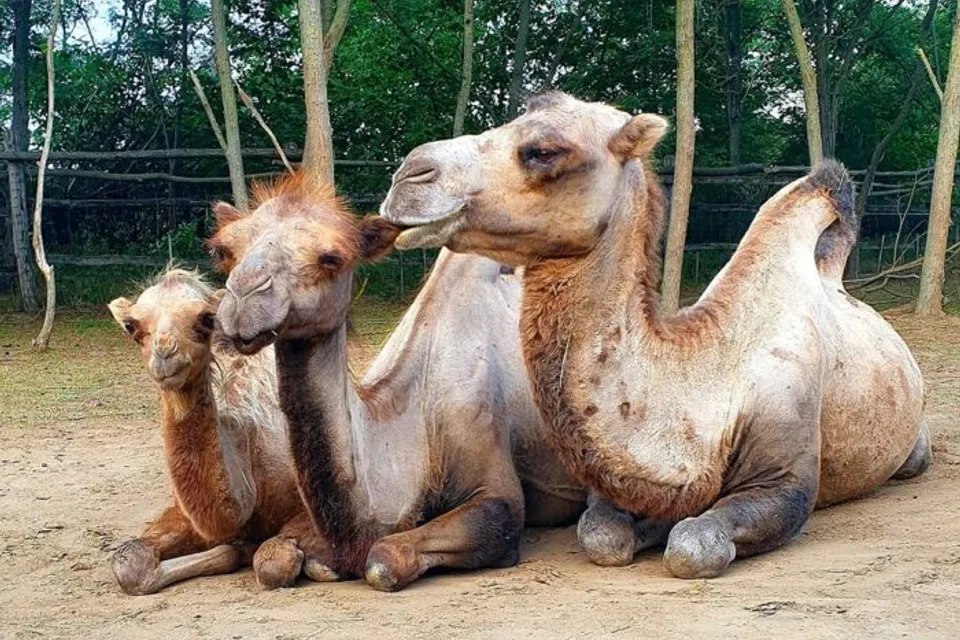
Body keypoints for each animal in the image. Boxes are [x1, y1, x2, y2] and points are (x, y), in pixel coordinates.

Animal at [108, 268, 334, 594]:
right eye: (131, 326)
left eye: (205, 319)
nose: (164, 354)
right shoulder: (182, 513)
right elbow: (128, 561)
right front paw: (231, 549)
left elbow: (272, 563)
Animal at [209, 173, 584, 591]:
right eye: (224, 250)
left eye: (331, 258)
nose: (242, 300)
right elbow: (275, 559)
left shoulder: (496, 487)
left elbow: (383, 558)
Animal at [379, 91, 931, 578]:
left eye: (545, 150)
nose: (409, 175)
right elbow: (602, 537)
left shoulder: (785, 474)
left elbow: (692, 544)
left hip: (913, 446)